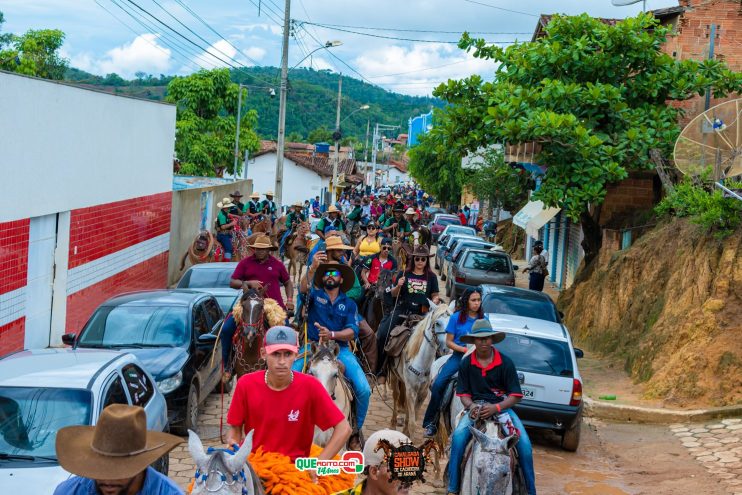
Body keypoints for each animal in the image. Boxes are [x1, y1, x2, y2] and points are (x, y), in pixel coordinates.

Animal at [386, 300, 456, 440]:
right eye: (437, 323)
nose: (447, 349)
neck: (421, 362)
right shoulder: (411, 390)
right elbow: (413, 423)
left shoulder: (422, 393)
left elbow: (414, 417)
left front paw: (406, 433)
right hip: (396, 378)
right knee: (396, 396)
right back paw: (393, 424)